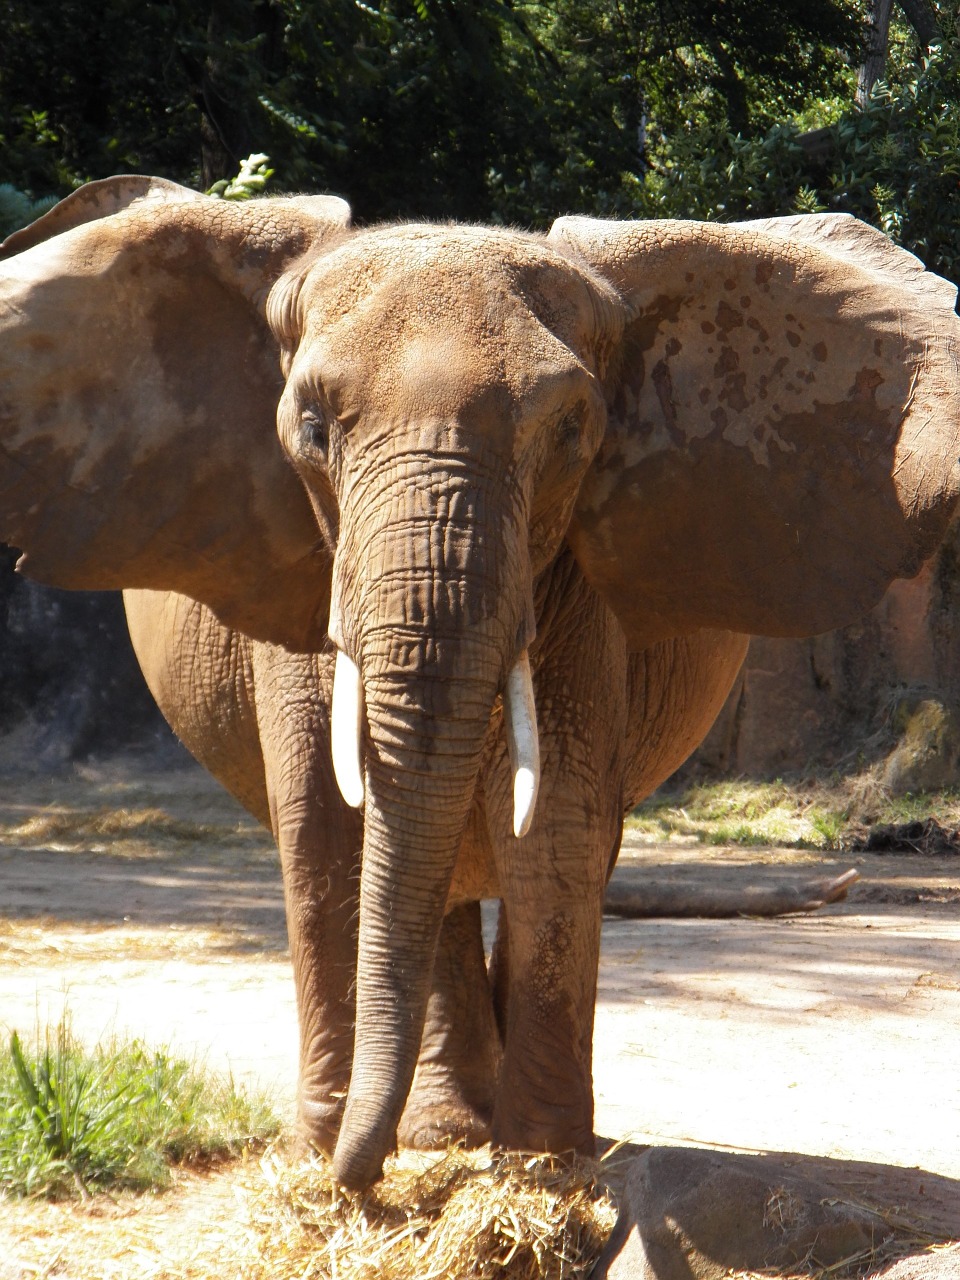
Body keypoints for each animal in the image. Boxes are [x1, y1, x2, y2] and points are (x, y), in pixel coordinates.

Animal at [1, 175, 960, 1182]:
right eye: (312, 427)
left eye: (572, 429)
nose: (357, 1182)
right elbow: (328, 828)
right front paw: (332, 1157)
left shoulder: (575, 589)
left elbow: (557, 823)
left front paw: (544, 1166)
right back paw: (442, 1130)